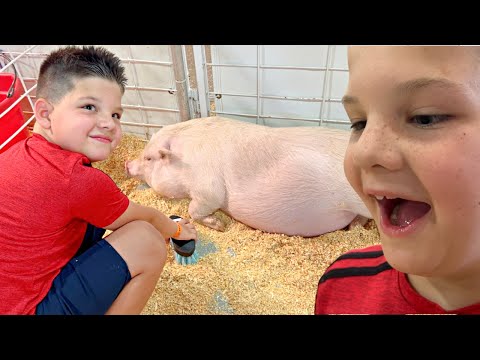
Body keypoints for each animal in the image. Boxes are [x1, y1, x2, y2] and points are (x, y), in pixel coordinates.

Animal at [124, 116, 372, 238]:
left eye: (149, 158)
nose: (127, 164)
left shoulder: (208, 188)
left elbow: (196, 208)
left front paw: (220, 226)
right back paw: (353, 227)